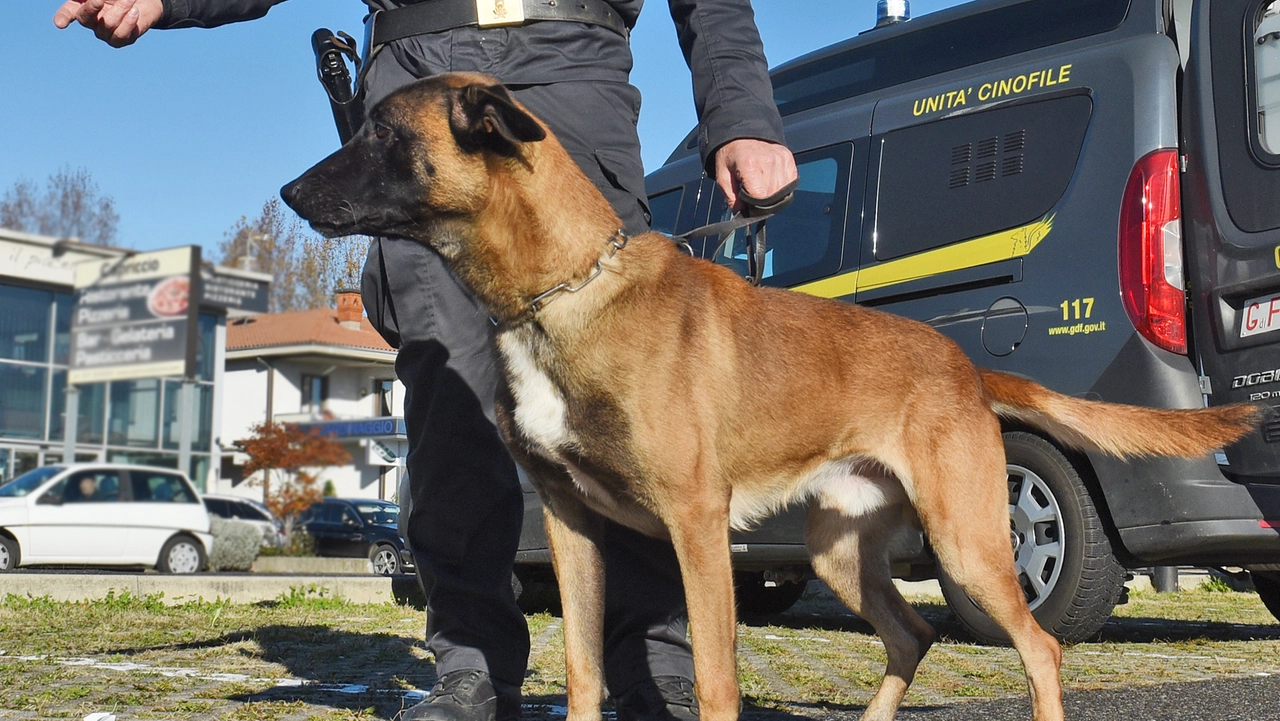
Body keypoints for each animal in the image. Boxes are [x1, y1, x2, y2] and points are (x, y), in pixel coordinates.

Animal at [282, 74, 1259, 721]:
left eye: (380, 133)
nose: (288, 188)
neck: (562, 293)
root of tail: (958, 361)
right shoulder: (569, 526)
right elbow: (587, 671)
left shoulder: (694, 523)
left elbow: (715, 678)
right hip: (839, 552)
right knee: (912, 635)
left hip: (971, 539)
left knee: (1039, 646)